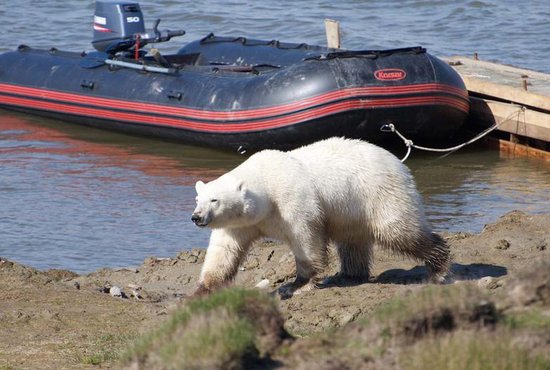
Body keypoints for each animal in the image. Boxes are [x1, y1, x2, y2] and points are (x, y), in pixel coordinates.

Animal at [192, 137, 450, 296]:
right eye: (198, 199)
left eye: (214, 200)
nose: (196, 217)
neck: (266, 181)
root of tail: (399, 163)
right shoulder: (241, 222)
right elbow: (224, 251)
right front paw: (202, 290)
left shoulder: (293, 199)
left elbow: (306, 238)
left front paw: (297, 286)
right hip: (351, 208)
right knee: (352, 241)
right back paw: (348, 275)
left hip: (378, 192)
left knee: (397, 230)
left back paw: (437, 268)